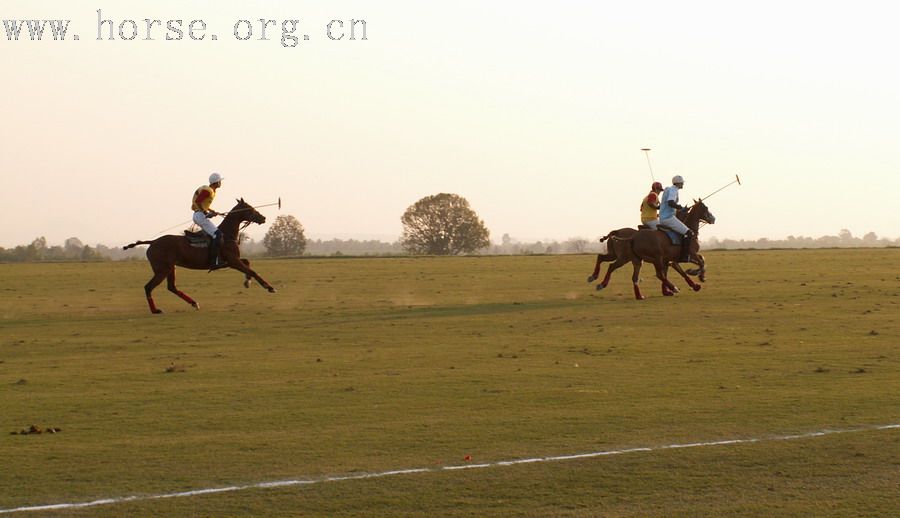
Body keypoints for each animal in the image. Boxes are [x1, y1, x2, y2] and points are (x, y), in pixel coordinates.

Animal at [123, 198, 276, 312]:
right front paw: (269, 287)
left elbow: (248, 263)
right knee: (148, 287)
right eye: (249, 208)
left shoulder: (232, 261)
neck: (227, 235)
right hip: (162, 270)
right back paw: (155, 310)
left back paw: (194, 303)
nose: (263, 218)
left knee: (171, 287)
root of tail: (153, 242)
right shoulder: (233, 261)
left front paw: (247, 281)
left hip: (171, 268)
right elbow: (252, 270)